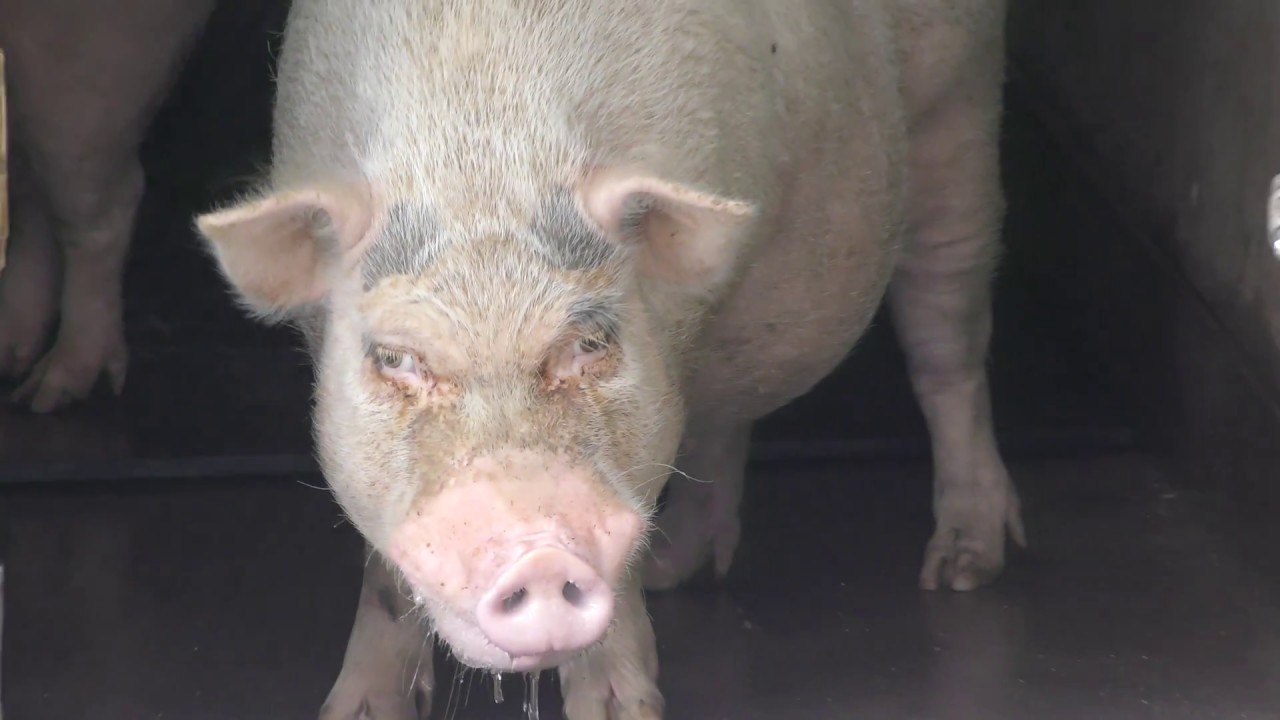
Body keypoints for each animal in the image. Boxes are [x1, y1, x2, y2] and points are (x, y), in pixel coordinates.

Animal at [195, 0, 1026, 717]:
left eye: (587, 345)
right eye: (397, 359)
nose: (537, 555)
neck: (483, 144)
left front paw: (623, 710)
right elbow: (385, 577)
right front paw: (355, 710)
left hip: (960, 111)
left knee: (947, 348)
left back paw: (960, 569)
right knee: (723, 417)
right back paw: (677, 573)